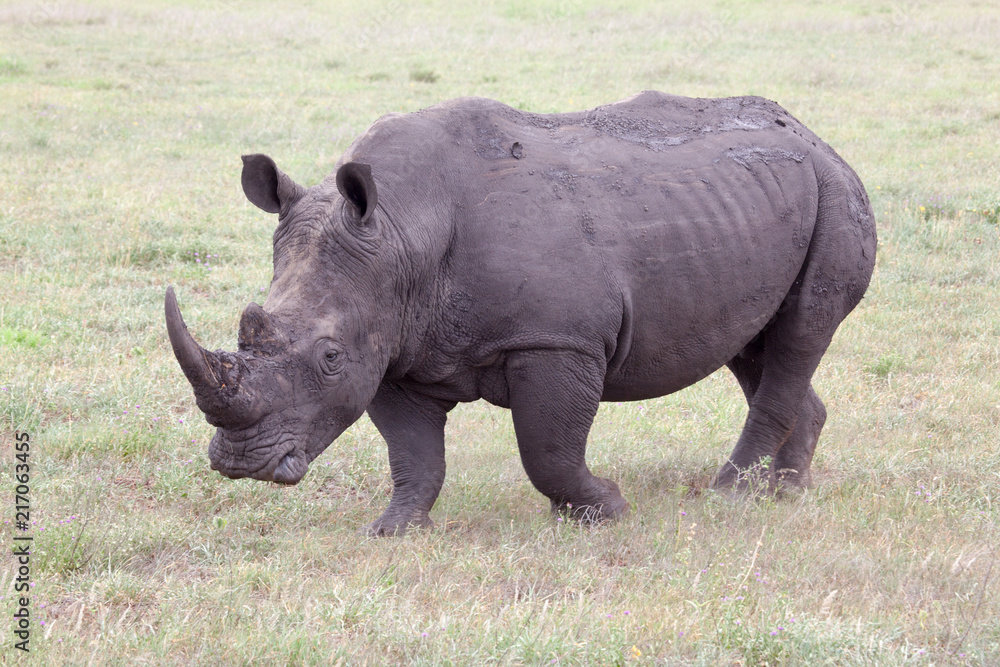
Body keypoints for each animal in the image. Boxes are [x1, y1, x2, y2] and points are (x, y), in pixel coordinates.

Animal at [165, 91, 875, 535]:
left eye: (329, 357)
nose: (240, 464)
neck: (399, 230)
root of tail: (818, 138)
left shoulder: (557, 340)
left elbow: (548, 448)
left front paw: (604, 511)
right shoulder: (394, 343)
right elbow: (413, 454)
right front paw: (395, 531)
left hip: (835, 194)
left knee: (798, 334)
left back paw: (728, 495)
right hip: (758, 205)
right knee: (756, 348)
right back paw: (785, 492)